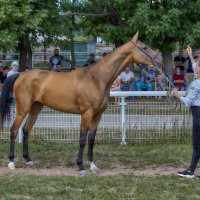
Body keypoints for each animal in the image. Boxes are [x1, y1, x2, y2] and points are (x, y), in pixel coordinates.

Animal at [0, 32, 162, 176]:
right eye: (145, 47)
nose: (158, 60)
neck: (96, 78)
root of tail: (20, 74)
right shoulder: (86, 114)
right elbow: (82, 139)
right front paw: (81, 167)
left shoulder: (97, 115)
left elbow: (91, 140)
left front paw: (93, 166)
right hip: (23, 108)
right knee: (14, 130)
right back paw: (12, 162)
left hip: (36, 107)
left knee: (26, 130)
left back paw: (28, 160)